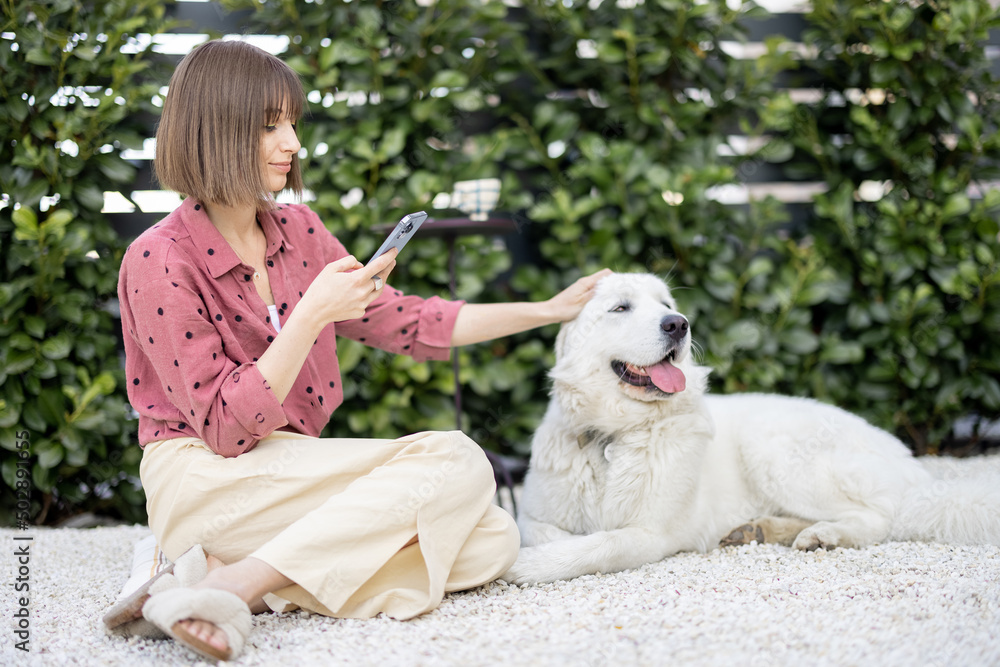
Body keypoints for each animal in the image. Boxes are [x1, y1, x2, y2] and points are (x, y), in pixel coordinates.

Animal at [504, 272, 1000, 584]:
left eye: (666, 305)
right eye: (620, 307)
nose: (678, 324)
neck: (615, 433)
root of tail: (912, 466)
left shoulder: (649, 534)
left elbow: (595, 546)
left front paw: (523, 567)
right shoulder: (534, 514)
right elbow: (543, 531)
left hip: (773, 451)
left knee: (881, 516)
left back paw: (825, 535)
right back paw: (761, 530)